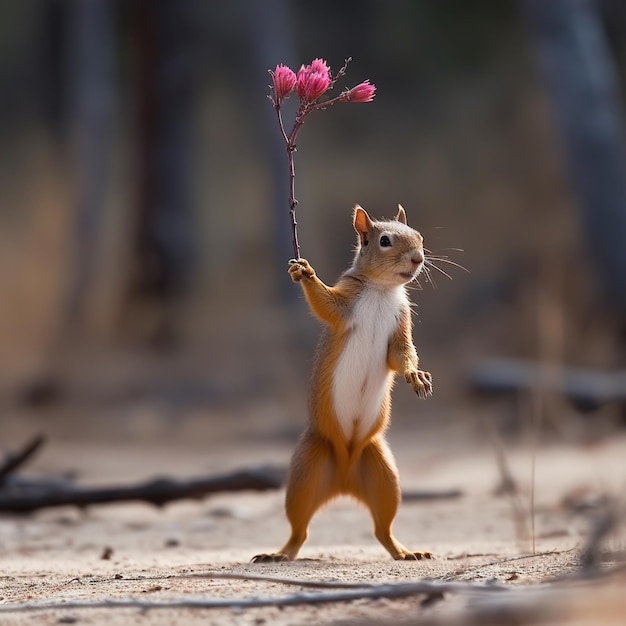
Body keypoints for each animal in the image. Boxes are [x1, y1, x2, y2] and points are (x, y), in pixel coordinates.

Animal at [251, 204, 432, 560]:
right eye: (384, 241)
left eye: (419, 235)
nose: (418, 258)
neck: (382, 290)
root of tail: (345, 473)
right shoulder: (344, 305)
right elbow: (325, 304)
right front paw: (305, 272)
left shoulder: (400, 321)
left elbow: (401, 354)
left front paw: (416, 376)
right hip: (307, 470)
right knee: (299, 531)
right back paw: (279, 553)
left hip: (383, 473)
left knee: (382, 529)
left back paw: (405, 552)